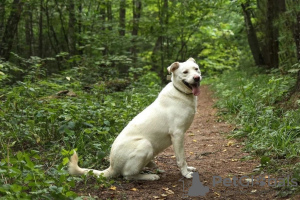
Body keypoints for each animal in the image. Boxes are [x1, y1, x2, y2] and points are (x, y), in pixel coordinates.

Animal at [68, 57, 202, 181]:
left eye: (196, 69)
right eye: (185, 72)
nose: (197, 78)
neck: (181, 93)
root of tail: (112, 166)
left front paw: (188, 169)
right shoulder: (177, 134)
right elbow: (181, 159)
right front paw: (185, 173)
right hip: (145, 144)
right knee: (128, 175)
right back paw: (150, 176)